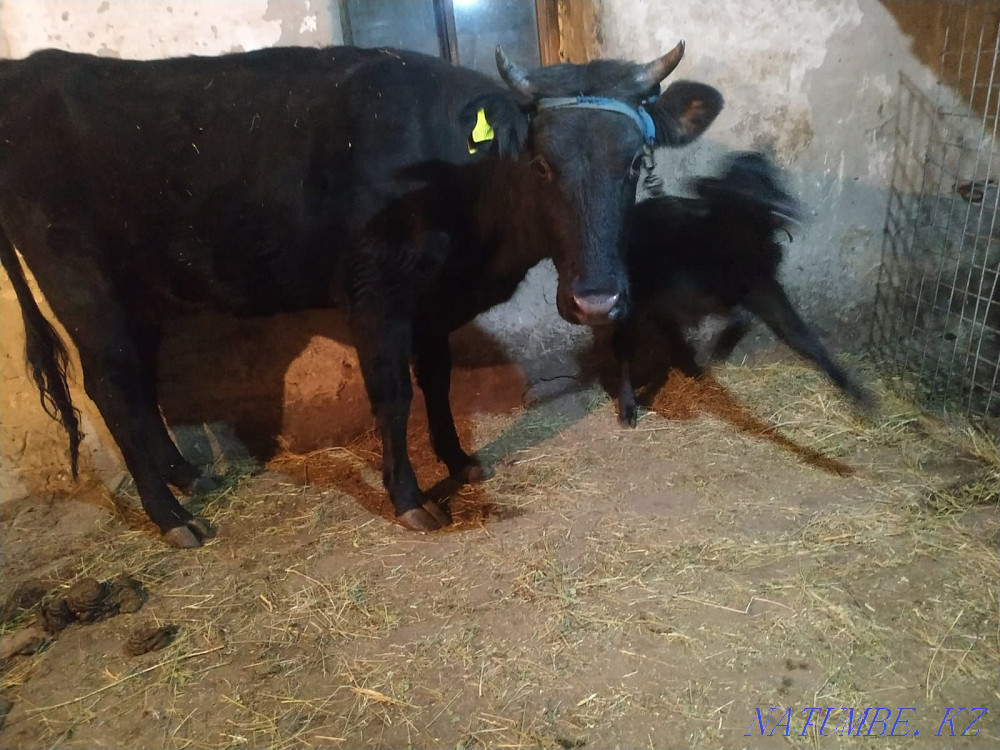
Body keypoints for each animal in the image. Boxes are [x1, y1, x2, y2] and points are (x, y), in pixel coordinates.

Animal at [0, 44, 723, 547]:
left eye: (635, 162)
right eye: (541, 164)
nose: (598, 302)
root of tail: (31, 68)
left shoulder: (432, 301)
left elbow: (438, 378)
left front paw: (460, 460)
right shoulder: (376, 294)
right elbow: (393, 394)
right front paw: (410, 498)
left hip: (139, 290)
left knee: (140, 383)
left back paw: (186, 474)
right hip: (81, 284)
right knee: (111, 386)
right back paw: (172, 516)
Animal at [613, 151, 875, 427]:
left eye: (773, 181)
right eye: (743, 186)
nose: (787, 208)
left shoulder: (766, 291)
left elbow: (801, 337)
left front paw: (856, 392)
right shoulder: (683, 296)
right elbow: (734, 315)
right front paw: (719, 348)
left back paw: (691, 366)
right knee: (625, 347)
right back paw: (629, 405)